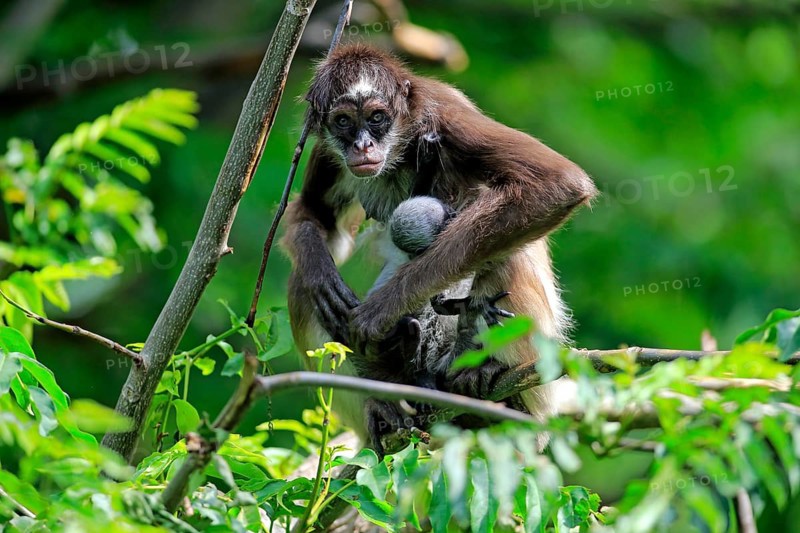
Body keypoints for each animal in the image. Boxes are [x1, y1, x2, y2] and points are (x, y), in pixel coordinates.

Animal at [281, 43, 597, 449]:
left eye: (377, 117)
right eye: (343, 122)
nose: (363, 145)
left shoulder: (445, 115)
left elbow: (557, 184)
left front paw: (379, 311)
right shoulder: (327, 148)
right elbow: (315, 219)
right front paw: (321, 273)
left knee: (503, 253)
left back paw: (484, 369)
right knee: (301, 285)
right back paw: (385, 403)